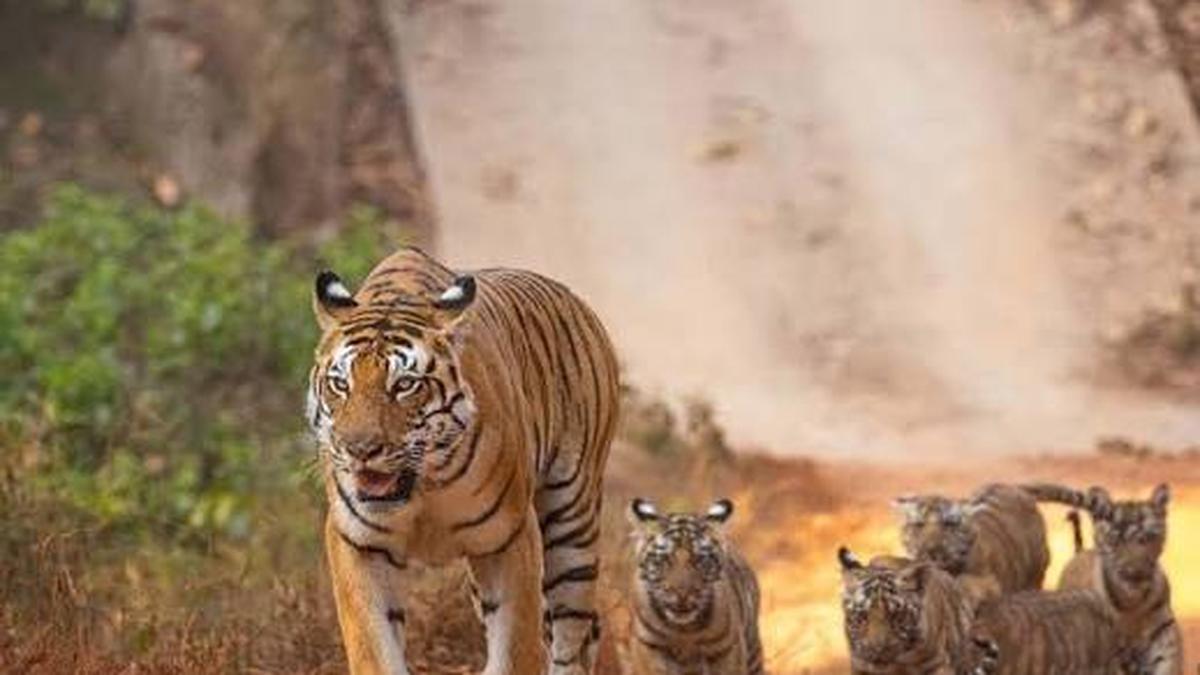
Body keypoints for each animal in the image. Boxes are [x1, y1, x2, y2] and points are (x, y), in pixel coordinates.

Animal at [307, 247, 620, 675]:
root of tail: (575, 301)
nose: (359, 449)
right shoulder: (358, 541)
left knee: (571, 639)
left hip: (572, 522)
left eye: (404, 385)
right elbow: (374, 650)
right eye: (340, 385)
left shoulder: (509, 536)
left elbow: (515, 651)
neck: (423, 489)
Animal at [628, 499, 764, 675]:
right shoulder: (651, 647)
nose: (682, 594)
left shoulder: (726, 652)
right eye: (664, 560)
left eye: (699, 560)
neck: (684, 631)